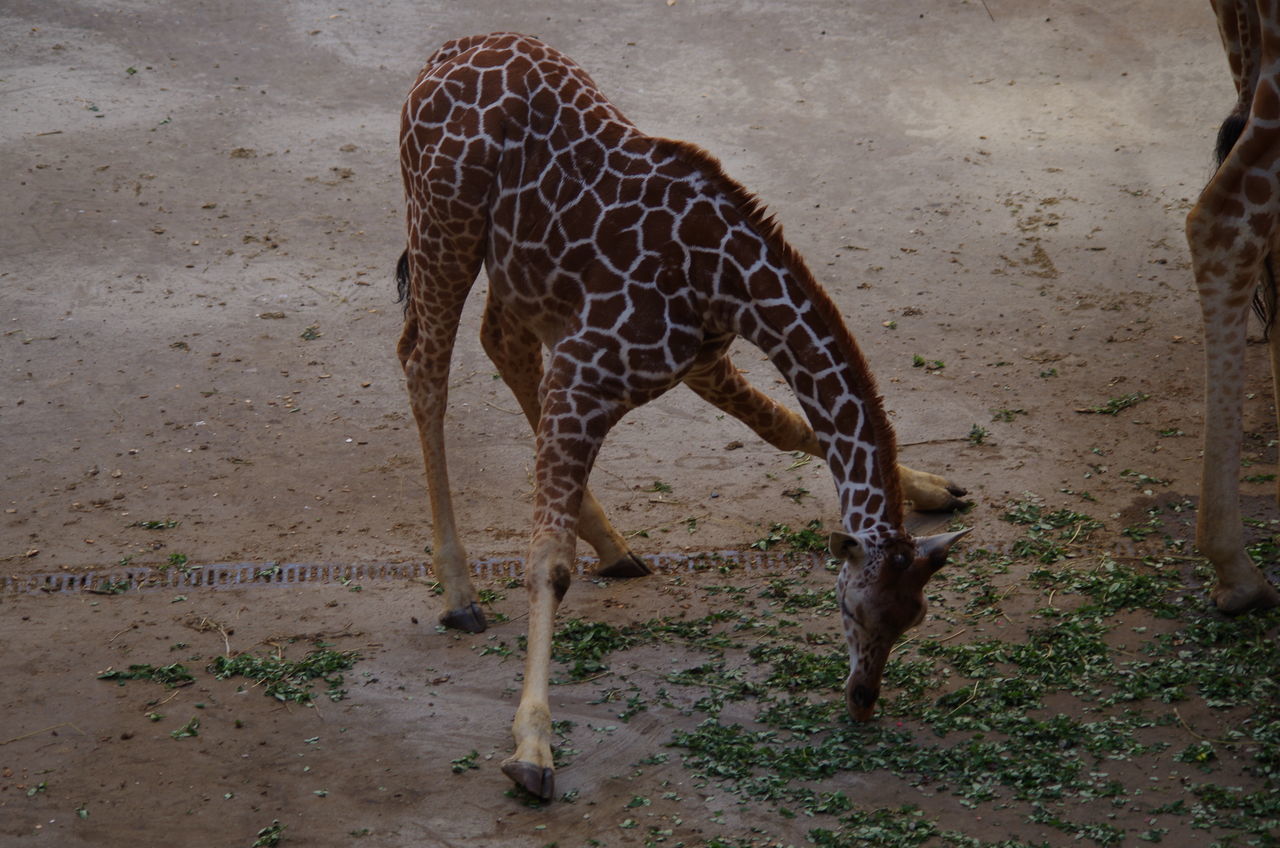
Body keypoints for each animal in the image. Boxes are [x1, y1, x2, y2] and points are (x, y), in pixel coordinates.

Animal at [394, 33, 962, 804]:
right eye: (855, 610)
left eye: (916, 617)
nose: (863, 699)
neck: (727, 280)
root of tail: (444, 54)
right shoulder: (588, 369)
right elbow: (548, 561)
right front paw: (532, 749)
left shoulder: (690, 362)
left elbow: (785, 427)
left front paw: (934, 486)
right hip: (443, 225)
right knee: (424, 363)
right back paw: (459, 592)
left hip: (516, 269)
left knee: (496, 341)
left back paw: (614, 546)